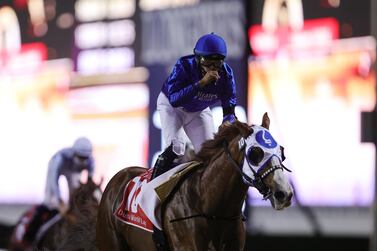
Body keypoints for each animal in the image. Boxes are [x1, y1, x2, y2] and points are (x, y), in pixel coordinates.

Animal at [95, 114, 292, 251]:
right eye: (255, 153)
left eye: (281, 151)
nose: (284, 193)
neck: (211, 206)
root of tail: (119, 176)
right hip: (110, 242)